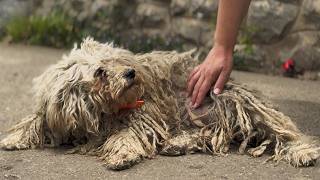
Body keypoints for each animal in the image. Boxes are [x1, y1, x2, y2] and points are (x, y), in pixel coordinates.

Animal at [1, 38, 318, 170]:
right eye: (100, 72)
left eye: (116, 60)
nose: (131, 73)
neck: (99, 112)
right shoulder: (54, 111)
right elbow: (35, 120)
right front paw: (13, 138)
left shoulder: (139, 116)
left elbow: (126, 136)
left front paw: (122, 155)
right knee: (200, 134)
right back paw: (177, 144)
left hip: (233, 104)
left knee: (283, 133)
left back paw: (303, 152)